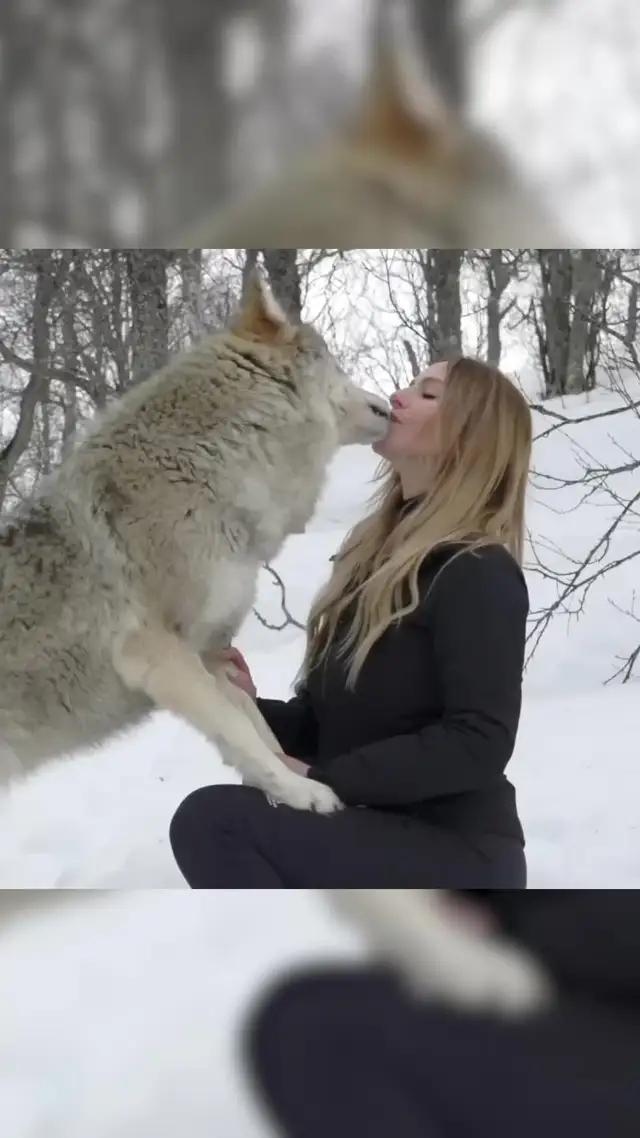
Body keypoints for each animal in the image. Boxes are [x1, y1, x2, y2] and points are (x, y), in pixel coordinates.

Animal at [0, 271, 390, 812]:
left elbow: (257, 728)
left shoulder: (212, 652)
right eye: (336, 364)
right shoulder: (161, 656)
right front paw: (305, 792)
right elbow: (238, 729)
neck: (207, 470)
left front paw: (283, 786)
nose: (389, 405)